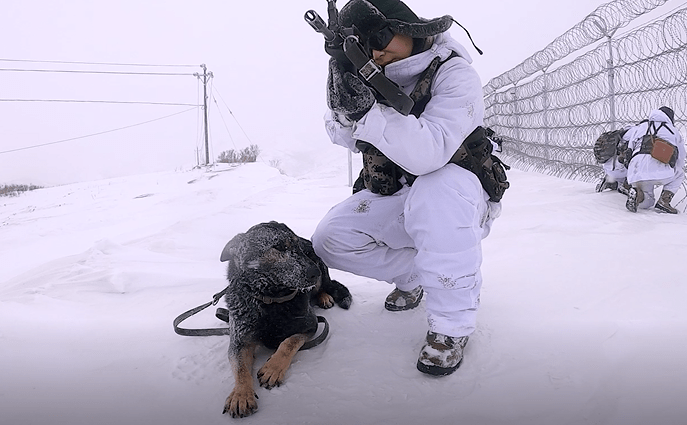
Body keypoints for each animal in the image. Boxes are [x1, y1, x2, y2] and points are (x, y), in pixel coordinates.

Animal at [219, 222, 352, 418]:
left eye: (298, 247)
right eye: (280, 247)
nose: (315, 272)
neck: (271, 300)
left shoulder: (310, 325)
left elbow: (289, 342)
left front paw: (273, 368)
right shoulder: (239, 341)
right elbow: (241, 368)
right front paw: (241, 394)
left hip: (321, 277)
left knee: (324, 286)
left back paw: (324, 297)